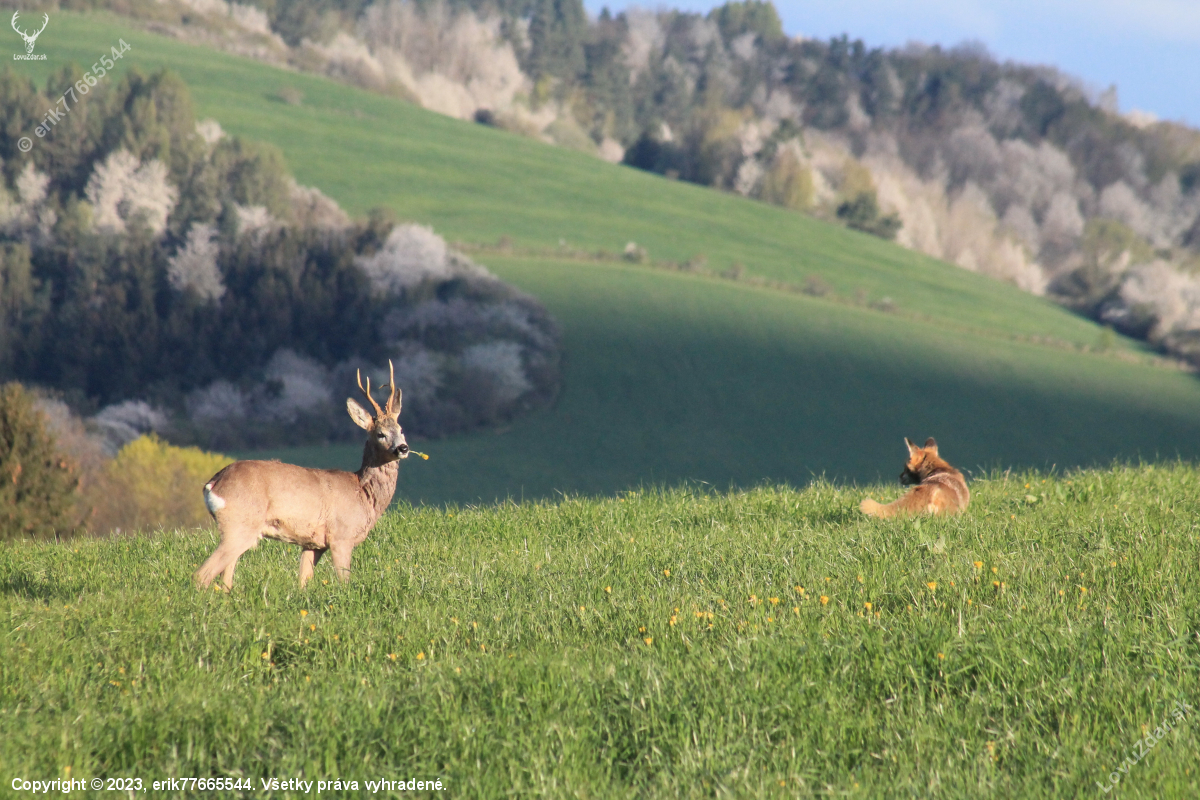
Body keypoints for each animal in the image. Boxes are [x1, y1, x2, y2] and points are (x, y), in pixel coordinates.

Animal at [194, 361, 410, 590]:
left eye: (401, 429)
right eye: (380, 434)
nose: (403, 448)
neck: (362, 493)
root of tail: (213, 484)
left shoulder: (313, 543)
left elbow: (303, 581)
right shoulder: (341, 536)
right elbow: (344, 580)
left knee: (225, 577)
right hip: (239, 524)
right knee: (202, 574)